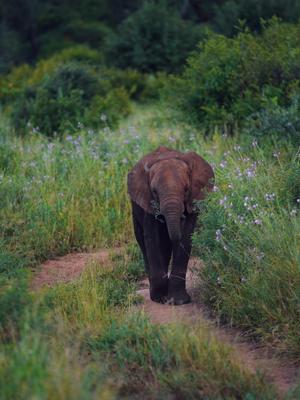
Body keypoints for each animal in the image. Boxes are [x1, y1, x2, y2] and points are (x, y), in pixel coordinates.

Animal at [127, 147, 214, 306]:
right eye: (154, 191)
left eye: (186, 189)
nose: (180, 218)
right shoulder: (148, 201)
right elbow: (152, 238)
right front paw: (160, 298)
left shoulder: (194, 199)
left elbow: (186, 236)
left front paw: (178, 301)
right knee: (143, 240)